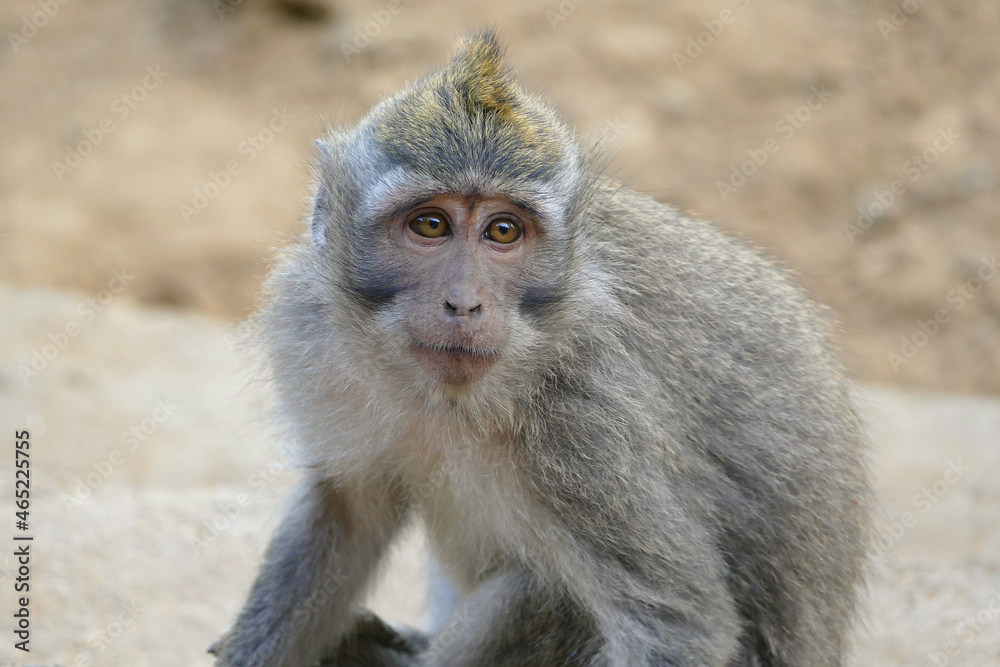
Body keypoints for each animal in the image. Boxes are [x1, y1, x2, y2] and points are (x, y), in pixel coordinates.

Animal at [209, 28, 868, 664]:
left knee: (544, 590)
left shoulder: (587, 421)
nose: (464, 304)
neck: (453, 400)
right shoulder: (314, 335)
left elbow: (678, 623)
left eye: (503, 231)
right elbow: (346, 512)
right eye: (430, 224)